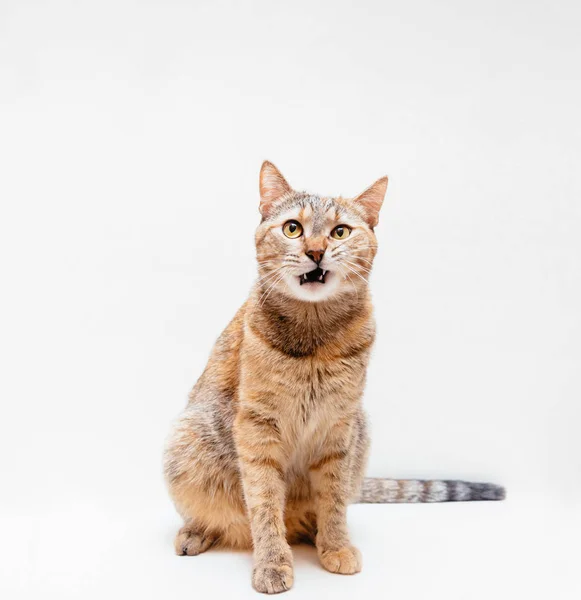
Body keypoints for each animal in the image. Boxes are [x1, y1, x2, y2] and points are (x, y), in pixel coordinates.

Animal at [163, 162, 502, 592]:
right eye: (293, 228)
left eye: (340, 231)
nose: (316, 251)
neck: (314, 339)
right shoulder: (257, 427)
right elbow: (264, 504)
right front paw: (272, 563)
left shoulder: (341, 425)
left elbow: (335, 498)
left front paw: (336, 544)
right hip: (188, 436)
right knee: (218, 515)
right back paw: (198, 531)